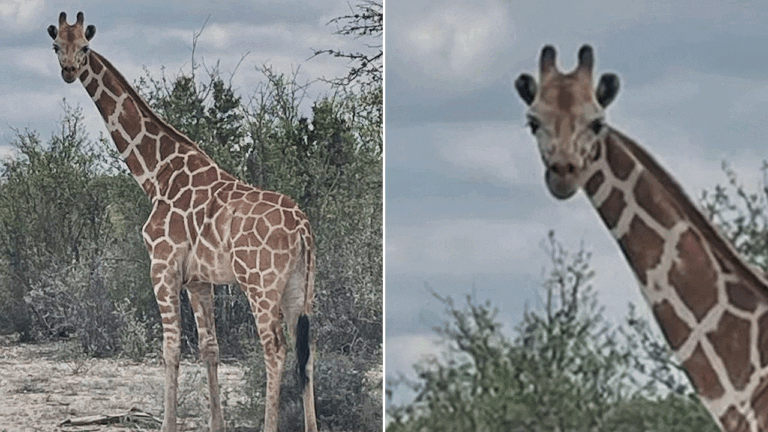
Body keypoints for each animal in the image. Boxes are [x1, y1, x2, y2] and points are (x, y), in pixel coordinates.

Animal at [47, 12, 317, 432]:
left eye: (86, 47)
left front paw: (168, 423)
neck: (156, 174)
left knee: (275, 348)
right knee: (308, 350)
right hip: (299, 287)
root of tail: (303, 229)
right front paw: (216, 425)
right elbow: (209, 348)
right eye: (57, 44)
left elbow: (171, 348)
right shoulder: (199, 280)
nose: (69, 71)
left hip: (260, 284)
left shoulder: (162, 266)